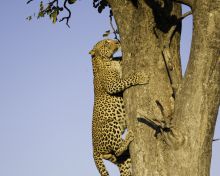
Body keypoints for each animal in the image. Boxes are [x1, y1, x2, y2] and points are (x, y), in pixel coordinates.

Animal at [89, 38, 150, 176]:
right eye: (106, 42)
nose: (117, 41)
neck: (106, 60)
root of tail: (94, 149)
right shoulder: (113, 85)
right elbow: (127, 79)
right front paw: (141, 77)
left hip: (119, 159)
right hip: (111, 124)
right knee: (117, 149)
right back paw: (128, 137)